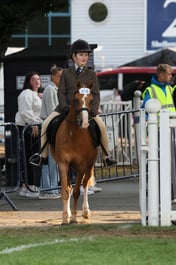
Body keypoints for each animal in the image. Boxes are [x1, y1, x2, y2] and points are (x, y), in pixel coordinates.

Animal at [50, 79, 99, 224]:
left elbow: (77, 191)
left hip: (89, 165)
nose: (84, 122)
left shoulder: (82, 165)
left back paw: (85, 212)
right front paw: (65, 218)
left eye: (91, 100)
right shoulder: (63, 164)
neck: (73, 135)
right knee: (71, 187)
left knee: (85, 184)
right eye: (76, 100)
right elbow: (66, 191)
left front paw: (73, 218)